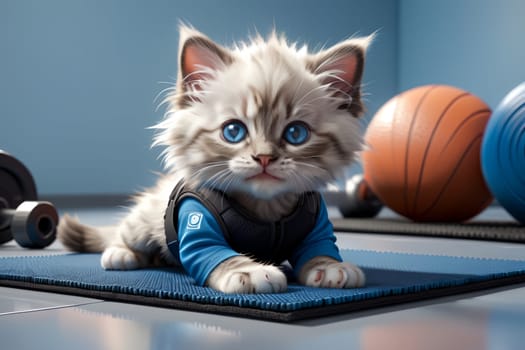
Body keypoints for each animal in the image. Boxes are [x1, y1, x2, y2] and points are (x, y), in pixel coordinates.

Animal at [57, 25, 370, 292]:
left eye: (296, 133)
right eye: (233, 131)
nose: (264, 157)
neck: (266, 210)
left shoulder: (319, 227)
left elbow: (320, 250)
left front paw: (331, 268)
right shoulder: (196, 225)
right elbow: (218, 255)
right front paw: (250, 272)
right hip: (144, 222)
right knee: (125, 232)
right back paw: (121, 254)